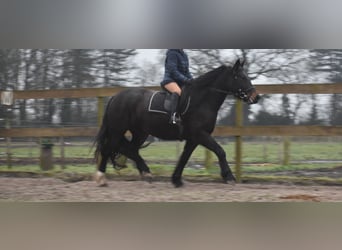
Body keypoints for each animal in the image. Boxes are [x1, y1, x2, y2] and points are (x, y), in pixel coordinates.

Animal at [93, 59, 260, 188]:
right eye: (240, 77)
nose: (255, 97)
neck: (202, 100)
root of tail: (116, 97)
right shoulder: (201, 135)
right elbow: (220, 151)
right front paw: (229, 177)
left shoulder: (193, 139)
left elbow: (184, 158)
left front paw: (176, 180)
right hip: (117, 130)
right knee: (109, 149)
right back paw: (102, 178)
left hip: (140, 133)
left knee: (130, 149)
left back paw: (146, 173)